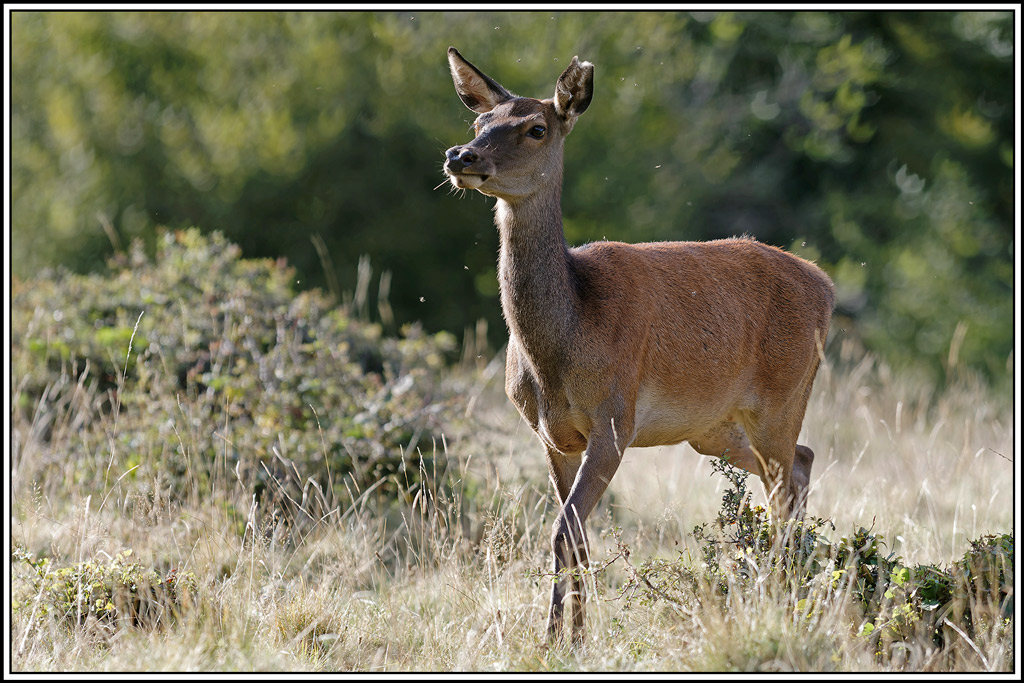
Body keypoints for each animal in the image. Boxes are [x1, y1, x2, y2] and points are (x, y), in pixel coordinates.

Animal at [442, 47, 835, 646]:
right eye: (479, 122)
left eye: (536, 128)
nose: (460, 155)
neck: (560, 347)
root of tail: (828, 287)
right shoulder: (552, 436)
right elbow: (576, 536)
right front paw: (575, 636)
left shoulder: (614, 419)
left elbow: (563, 530)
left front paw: (553, 637)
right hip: (711, 428)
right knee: (801, 463)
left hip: (785, 394)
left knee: (784, 485)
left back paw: (781, 597)